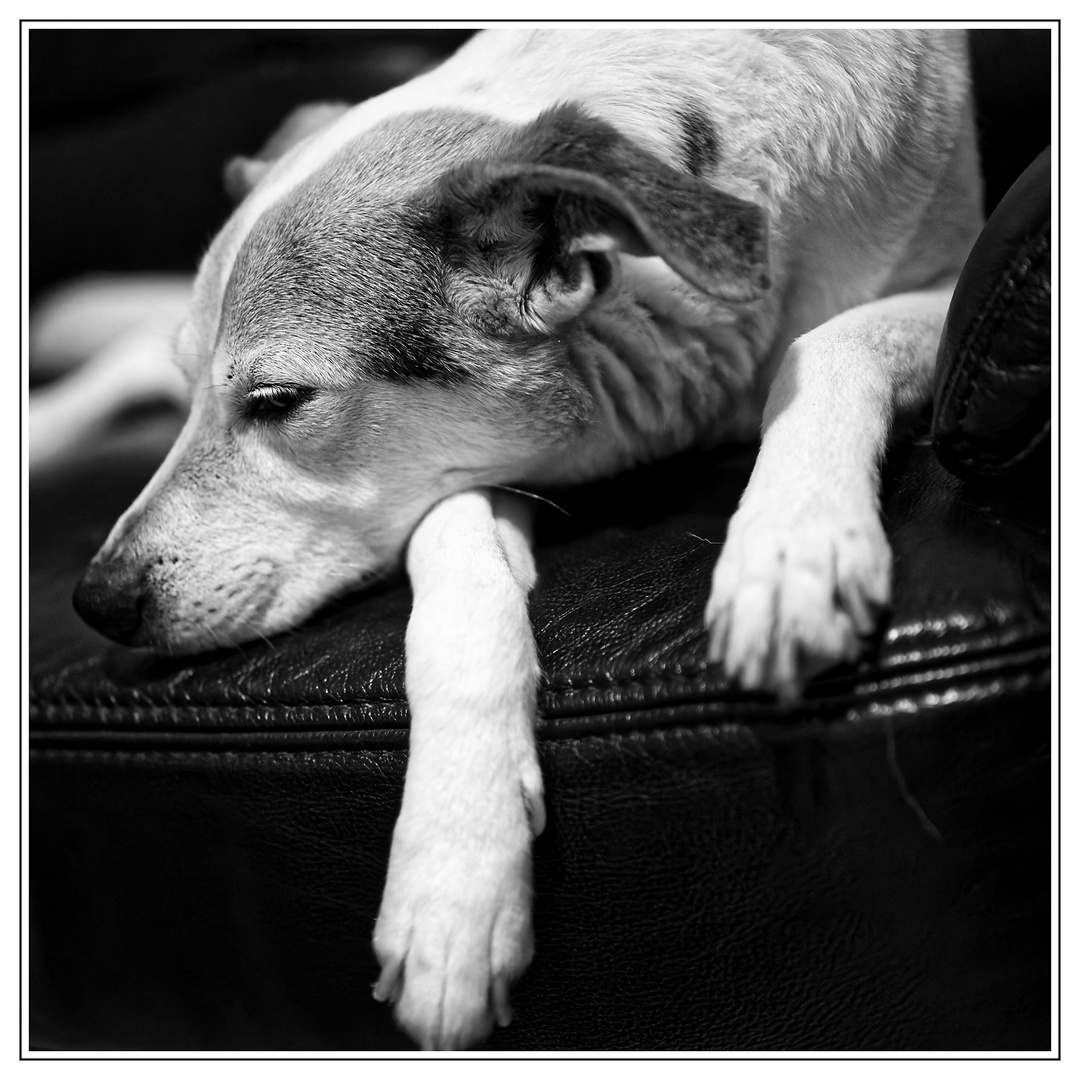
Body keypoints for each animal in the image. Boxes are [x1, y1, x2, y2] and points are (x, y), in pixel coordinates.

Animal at [39, 29, 989, 1049]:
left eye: (279, 401)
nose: (96, 603)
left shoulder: (941, 280)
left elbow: (827, 344)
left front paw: (790, 549)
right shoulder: (473, 468)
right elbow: (453, 581)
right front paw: (454, 882)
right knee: (121, 353)